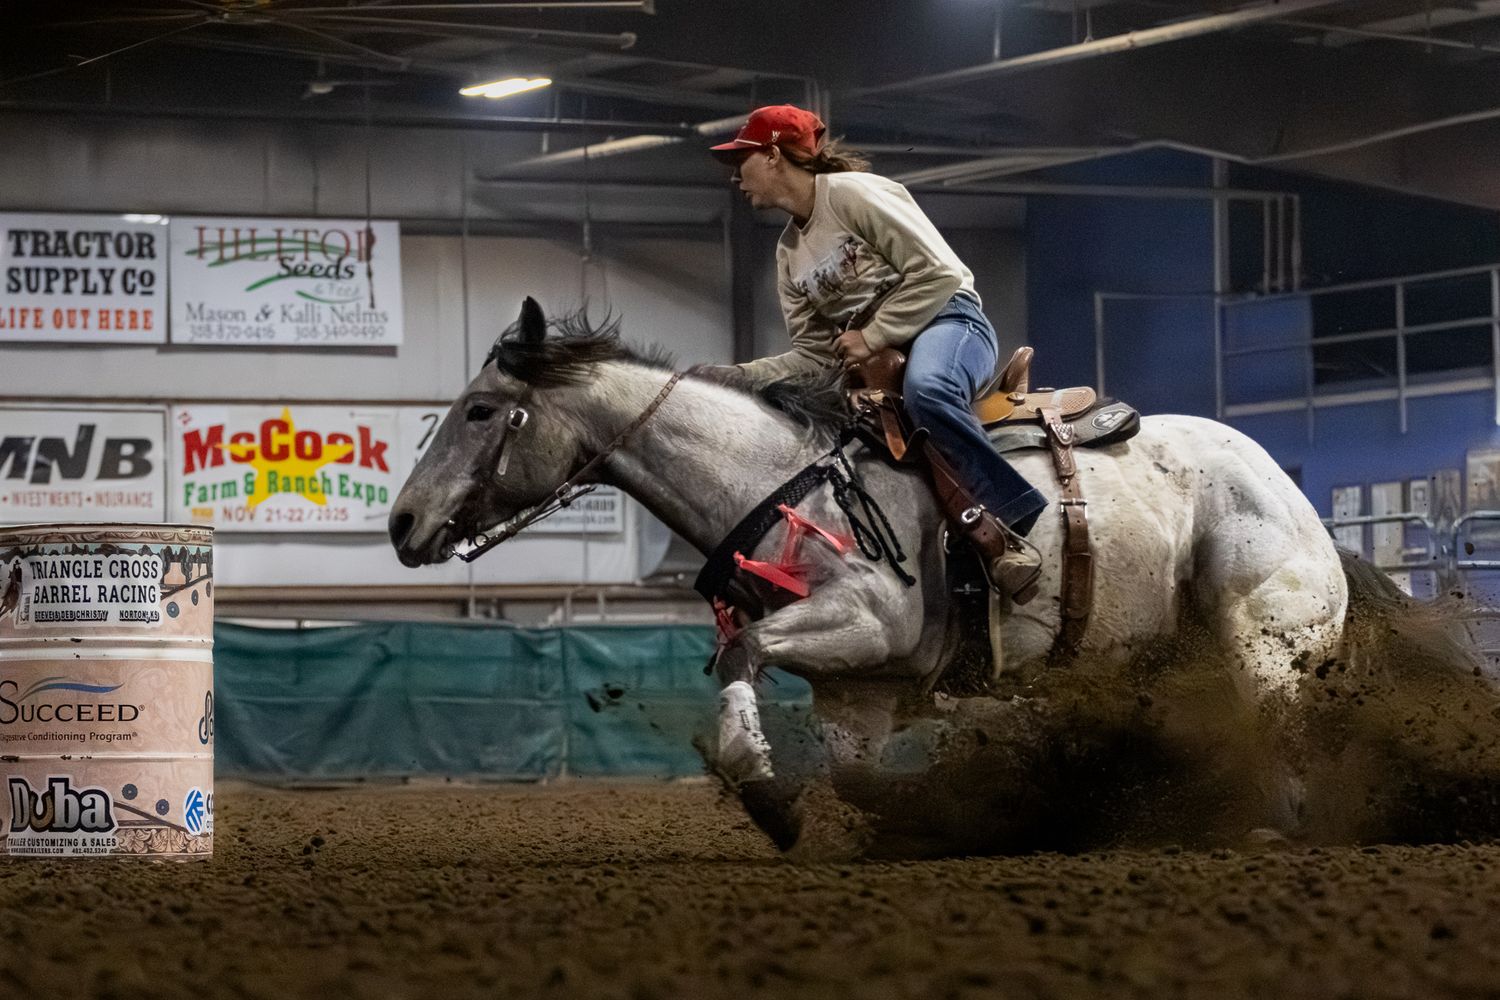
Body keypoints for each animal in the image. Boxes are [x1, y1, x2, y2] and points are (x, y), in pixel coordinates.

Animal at [389, 299, 1350, 851]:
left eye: (481, 410)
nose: (401, 524)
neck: (779, 473)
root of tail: (1287, 489)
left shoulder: (866, 621)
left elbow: (741, 654)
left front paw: (760, 786)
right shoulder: (858, 687)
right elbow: (854, 773)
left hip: (1266, 638)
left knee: (1280, 727)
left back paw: (1276, 828)